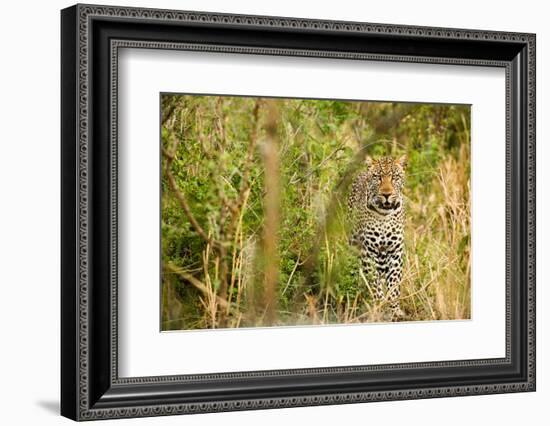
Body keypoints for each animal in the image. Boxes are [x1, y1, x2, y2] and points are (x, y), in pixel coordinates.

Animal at [352, 156, 408, 320]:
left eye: (394, 177)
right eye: (378, 177)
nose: (386, 194)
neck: (384, 216)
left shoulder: (395, 252)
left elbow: (394, 284)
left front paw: (394, 309)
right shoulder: (367, 252)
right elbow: (374, 284)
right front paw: (380, 306)